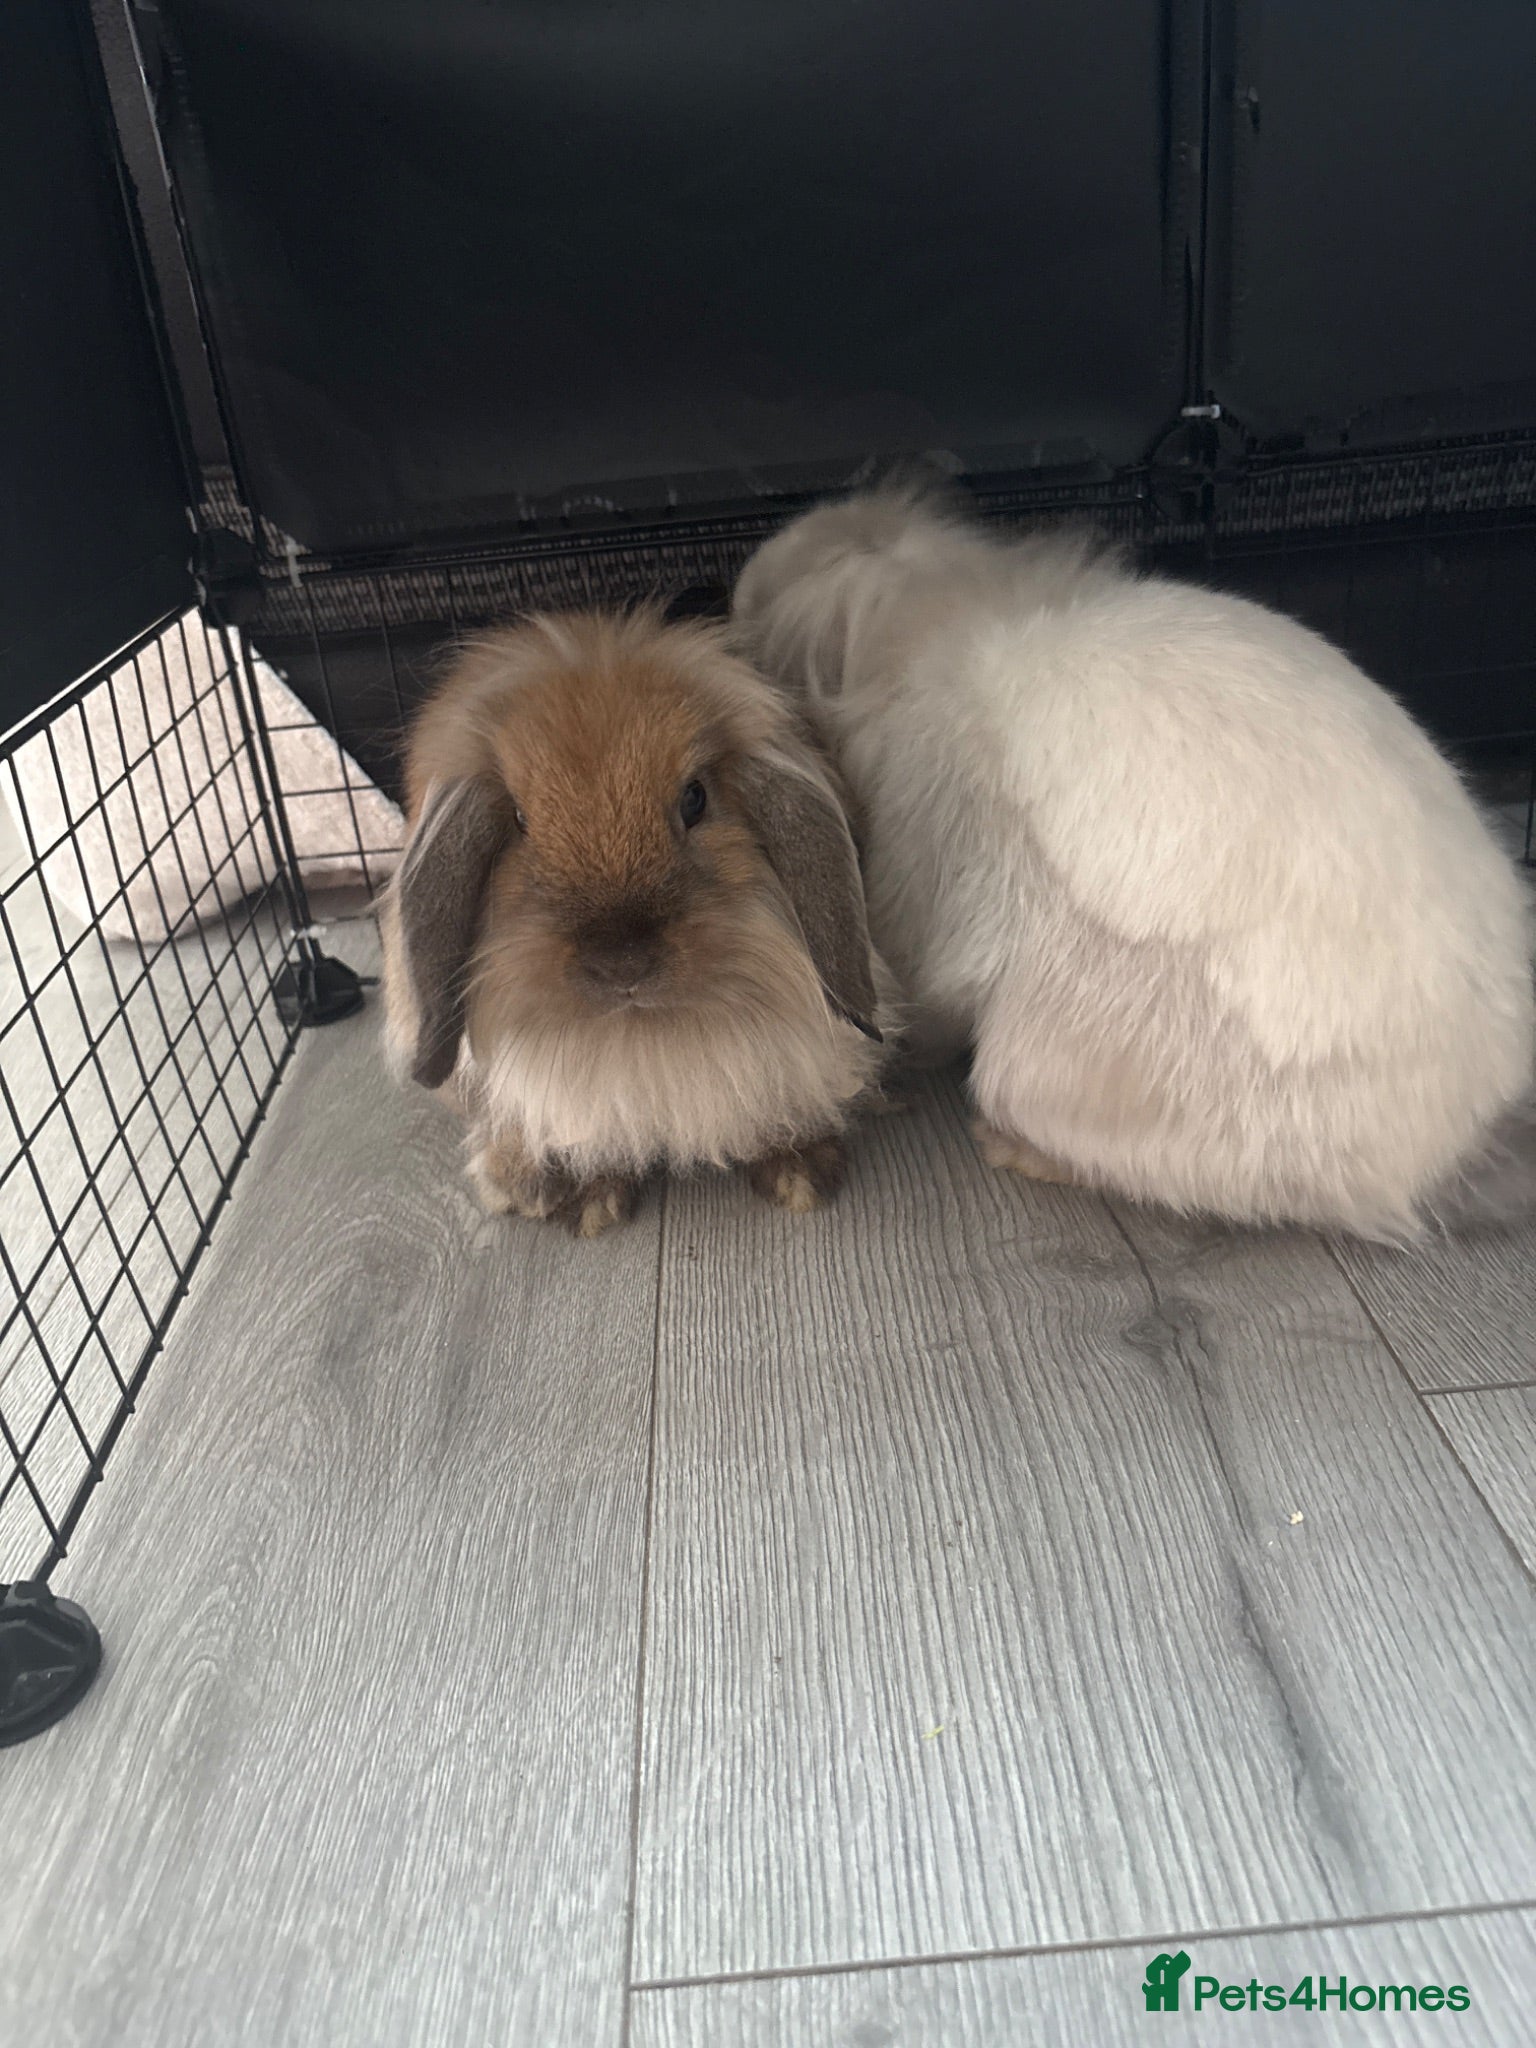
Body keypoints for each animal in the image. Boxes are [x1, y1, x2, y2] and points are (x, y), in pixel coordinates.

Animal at [378, 607, 894, 1236]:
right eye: (520, 820)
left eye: (695, 799)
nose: (622, 963)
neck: (641, 1039)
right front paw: (590, 1204)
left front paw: (799, 1174)